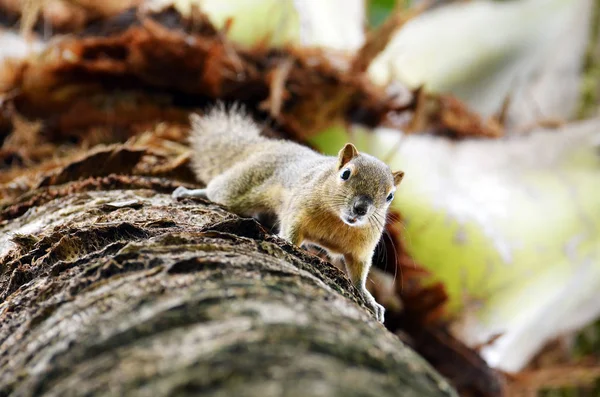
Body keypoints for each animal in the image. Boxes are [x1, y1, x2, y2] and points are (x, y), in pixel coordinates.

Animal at [172, 106, 404, 322]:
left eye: (390, 196)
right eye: (345, 174)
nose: (361, 208)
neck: (339, 221)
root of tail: (268, 145)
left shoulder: (361, 249)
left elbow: (358, 274)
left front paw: (368, 298)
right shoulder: (297, 211)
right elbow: (292, 232)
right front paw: (286, 243)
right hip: (242, 184)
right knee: (218, 190)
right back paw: (191, 192)